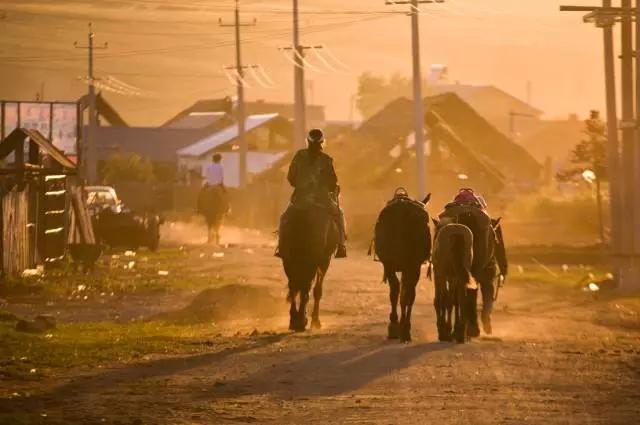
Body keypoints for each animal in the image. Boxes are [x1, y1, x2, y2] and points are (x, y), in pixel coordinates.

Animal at [376, 190, 430, 342]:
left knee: (397, 290)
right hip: (413, 265)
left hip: (394, 264)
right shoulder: (409, 267)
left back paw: (398, 325)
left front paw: (394, 323)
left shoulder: (389, 265)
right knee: (410, 293)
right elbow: (405, 293)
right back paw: (405, 328)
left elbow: (396, 291)